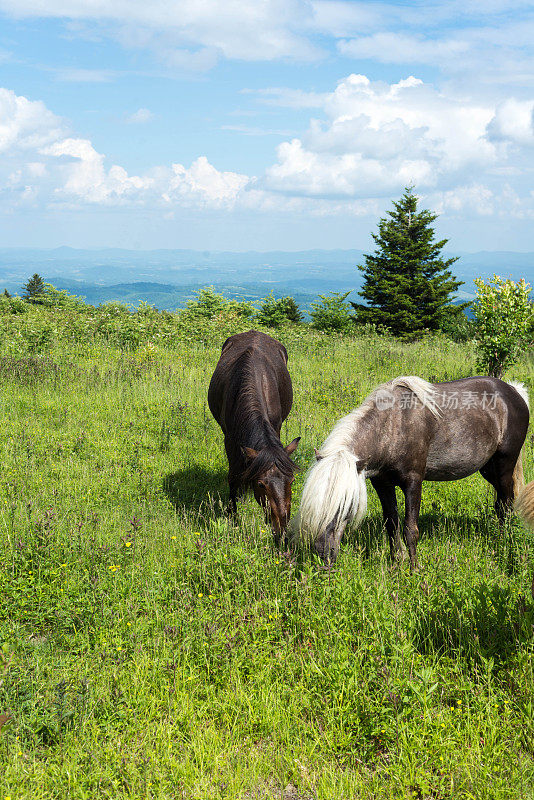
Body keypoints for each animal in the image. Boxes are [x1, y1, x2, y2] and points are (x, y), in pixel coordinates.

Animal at [208, 328, 302, 540]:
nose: (282, 531)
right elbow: (233, 477)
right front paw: (232, 517)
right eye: (260, 485)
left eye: (291, 480)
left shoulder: (276, 427)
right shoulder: (230, 440)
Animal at [294, 376, 532, 568]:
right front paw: (396, 565)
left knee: (506, 505)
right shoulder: (382, 484)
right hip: (488, 469)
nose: (324, 555)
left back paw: (504, 543)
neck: (393, 426)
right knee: (500, 503)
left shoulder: (413, 482)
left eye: (345, 505)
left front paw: (414, 569)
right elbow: (392, 525)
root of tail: (514, 391)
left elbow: (411, 530)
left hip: (504, 465)